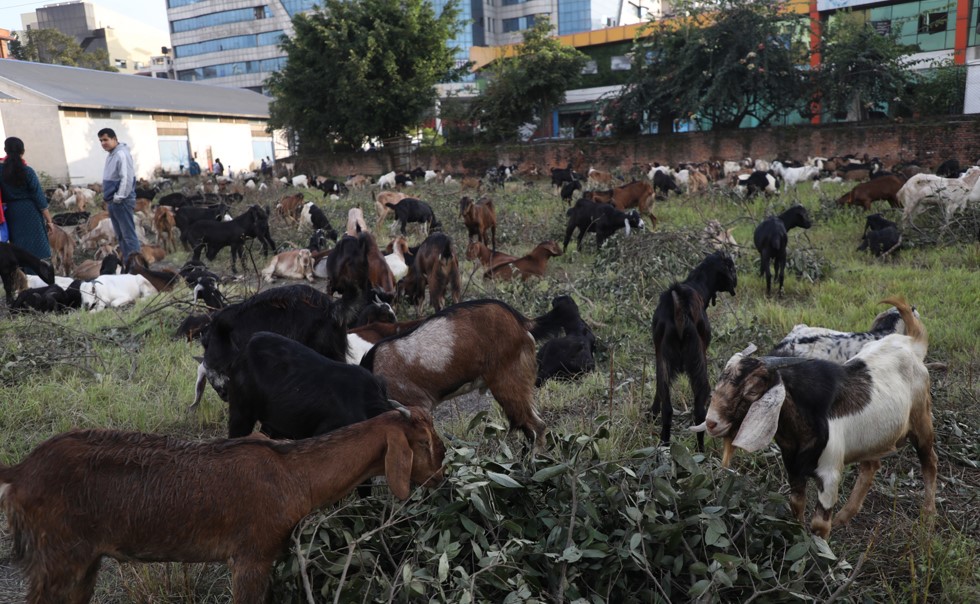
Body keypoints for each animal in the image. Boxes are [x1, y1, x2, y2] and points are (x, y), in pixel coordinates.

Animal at [0, 406, 444, 604]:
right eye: (425, 443)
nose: (443, 476)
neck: (296, 476)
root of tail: (18, 473)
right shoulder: (251, 555)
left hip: (83, 560)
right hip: (55, 557)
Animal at [652, 249, 736, 448]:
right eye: (732, 267)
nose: (736, 282)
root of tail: (680, 310)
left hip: (665, 362)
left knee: (668, 409)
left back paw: (665, 446)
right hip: (699, 362)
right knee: (699, 412)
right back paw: (700, 450)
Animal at [692, 298, 936, 536]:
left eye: (752, 390)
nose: (712, 423)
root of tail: (911, 343)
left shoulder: (829, 475)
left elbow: (820, 525)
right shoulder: (793, 468)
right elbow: (796, 505)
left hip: (921, 418)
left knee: (929, 462)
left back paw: (928, 517)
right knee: (870, 466)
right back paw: (844, 516)